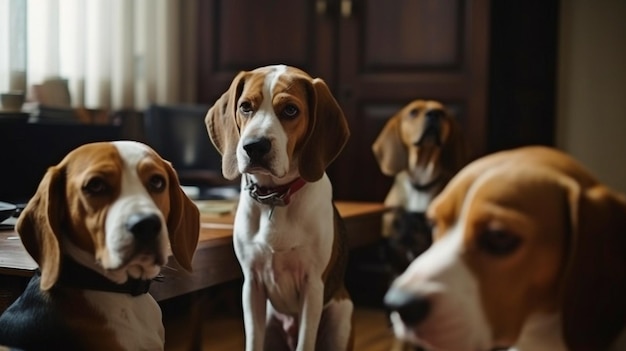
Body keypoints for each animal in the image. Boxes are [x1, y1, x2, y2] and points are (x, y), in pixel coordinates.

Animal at [205, 64, 352, 350]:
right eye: (245, 107)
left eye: (290, 110)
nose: (254, 146)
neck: (274, 197)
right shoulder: (252, 284)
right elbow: (253, 339)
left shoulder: (312, 286)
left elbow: (305, 343)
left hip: (340, 315)